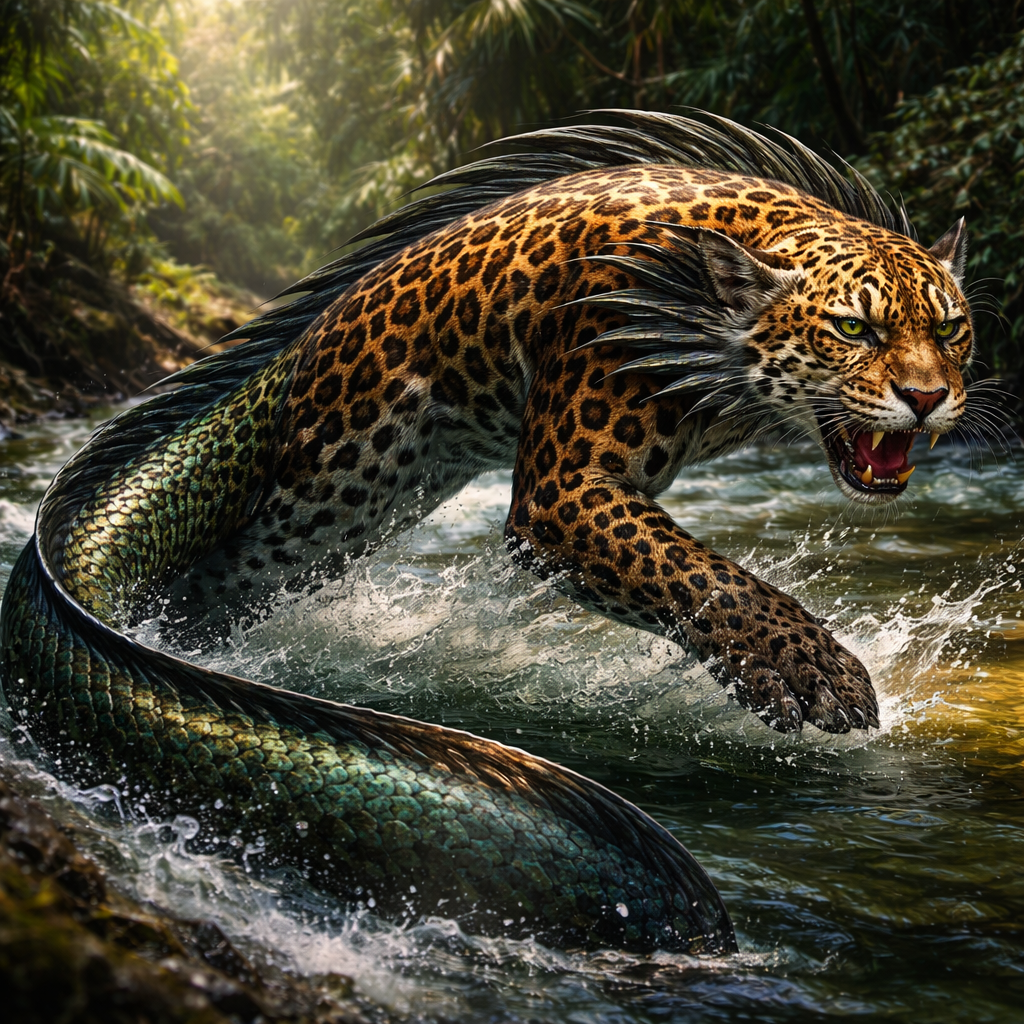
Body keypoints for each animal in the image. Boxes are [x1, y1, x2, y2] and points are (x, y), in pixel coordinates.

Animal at [84, 111, 975, 736]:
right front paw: (813, 673)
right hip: (327, 489)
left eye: (951, 328)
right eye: (854, 329)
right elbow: (706, 576)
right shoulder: (564, 491)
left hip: (345, 520)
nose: (928, 397)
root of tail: (298, 352)